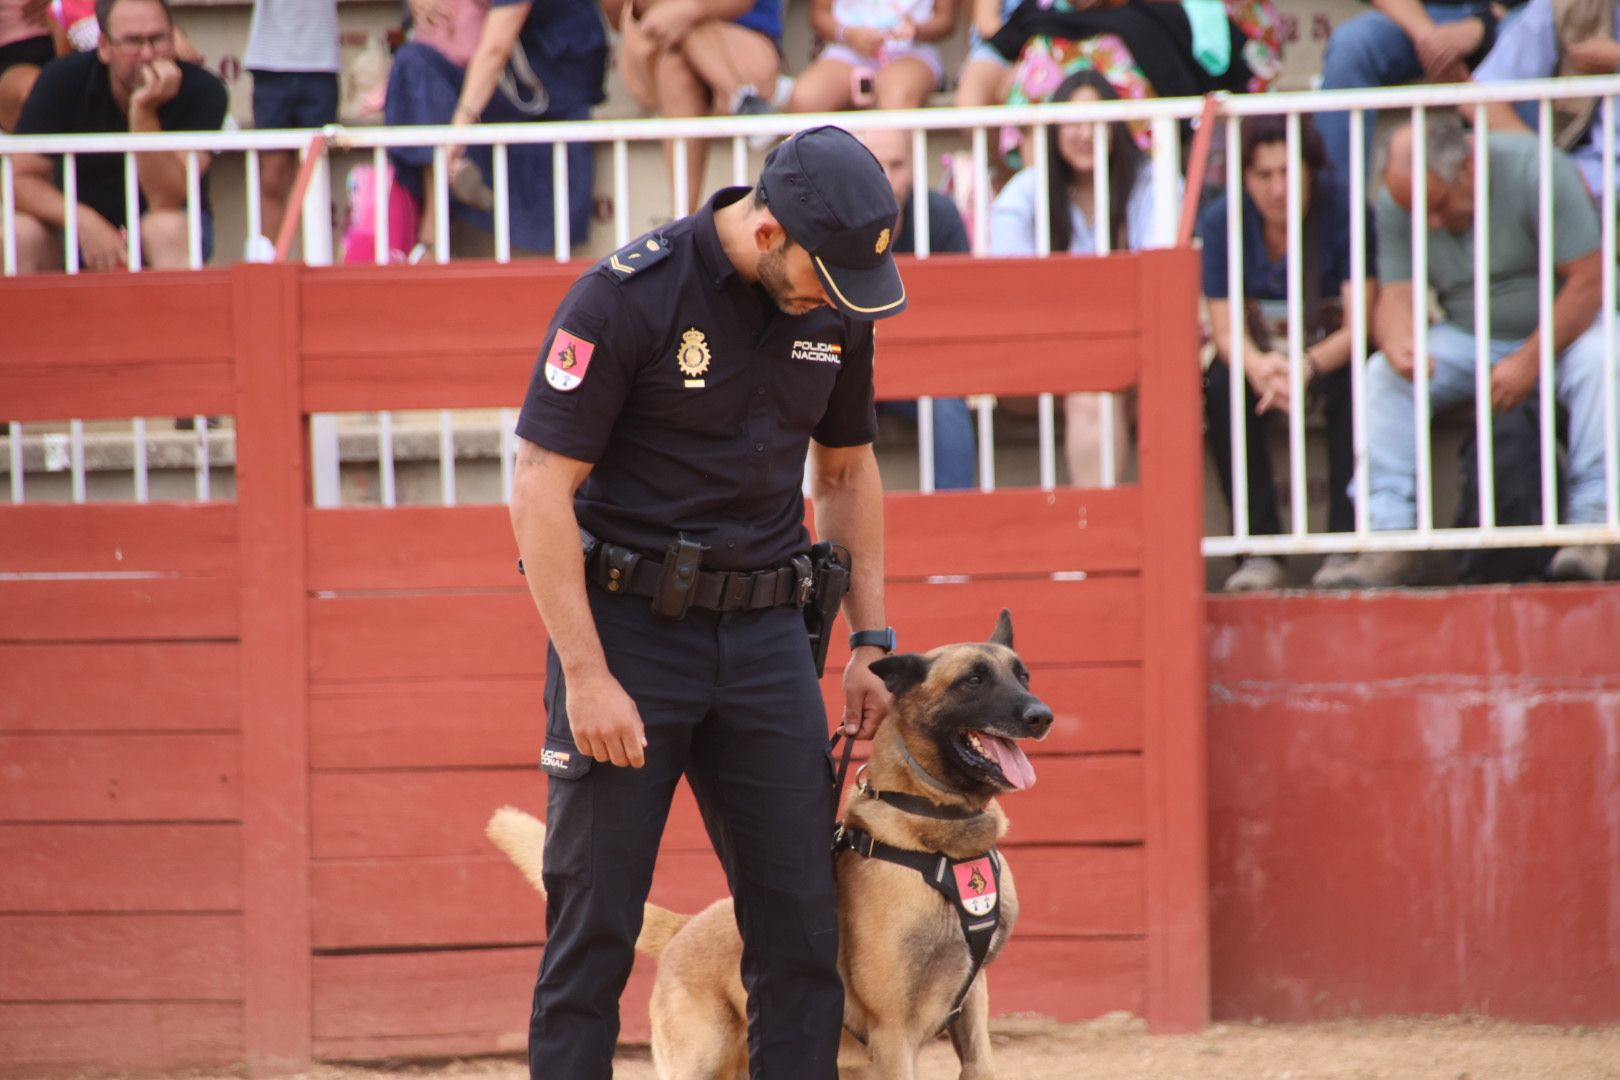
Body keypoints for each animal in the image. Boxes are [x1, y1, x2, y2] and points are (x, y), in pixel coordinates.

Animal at [486, 612, 1056, 1075]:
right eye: (973, 680)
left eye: (1022, 675)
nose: (1042, 716)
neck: (936, 834)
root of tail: (686, 927)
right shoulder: (895, 1036)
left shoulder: (973, 1009)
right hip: (699, 1064)